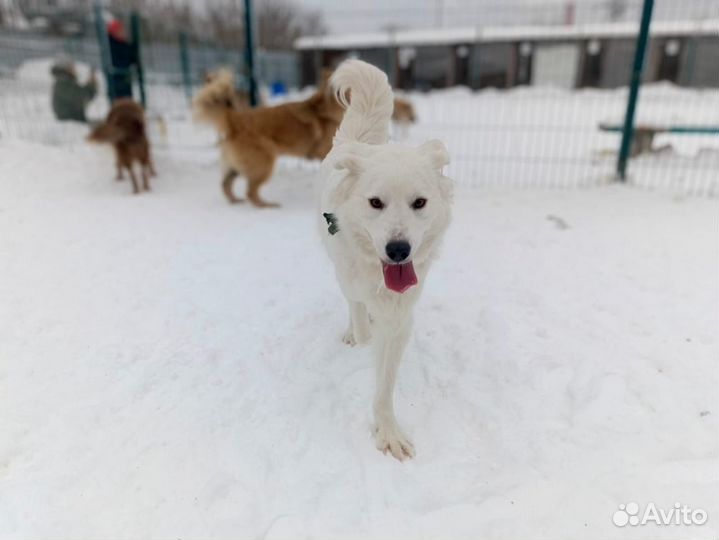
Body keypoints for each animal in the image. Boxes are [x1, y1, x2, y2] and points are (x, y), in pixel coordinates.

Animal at [194, 69, 346, 207]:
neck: (326, 106)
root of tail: (234, 119)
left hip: (236, 167)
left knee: (226, 184)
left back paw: (234, 201)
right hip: (264, 164)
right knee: (250, 192)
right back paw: (266, 205)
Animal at [322, 61, 456, 462]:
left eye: (420, 203)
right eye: (375, 202)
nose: (398, 250)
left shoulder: (400, 317)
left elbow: (385, 383)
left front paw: (388, 431)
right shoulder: (353, 282)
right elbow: (363, 322)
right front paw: (360, 334)